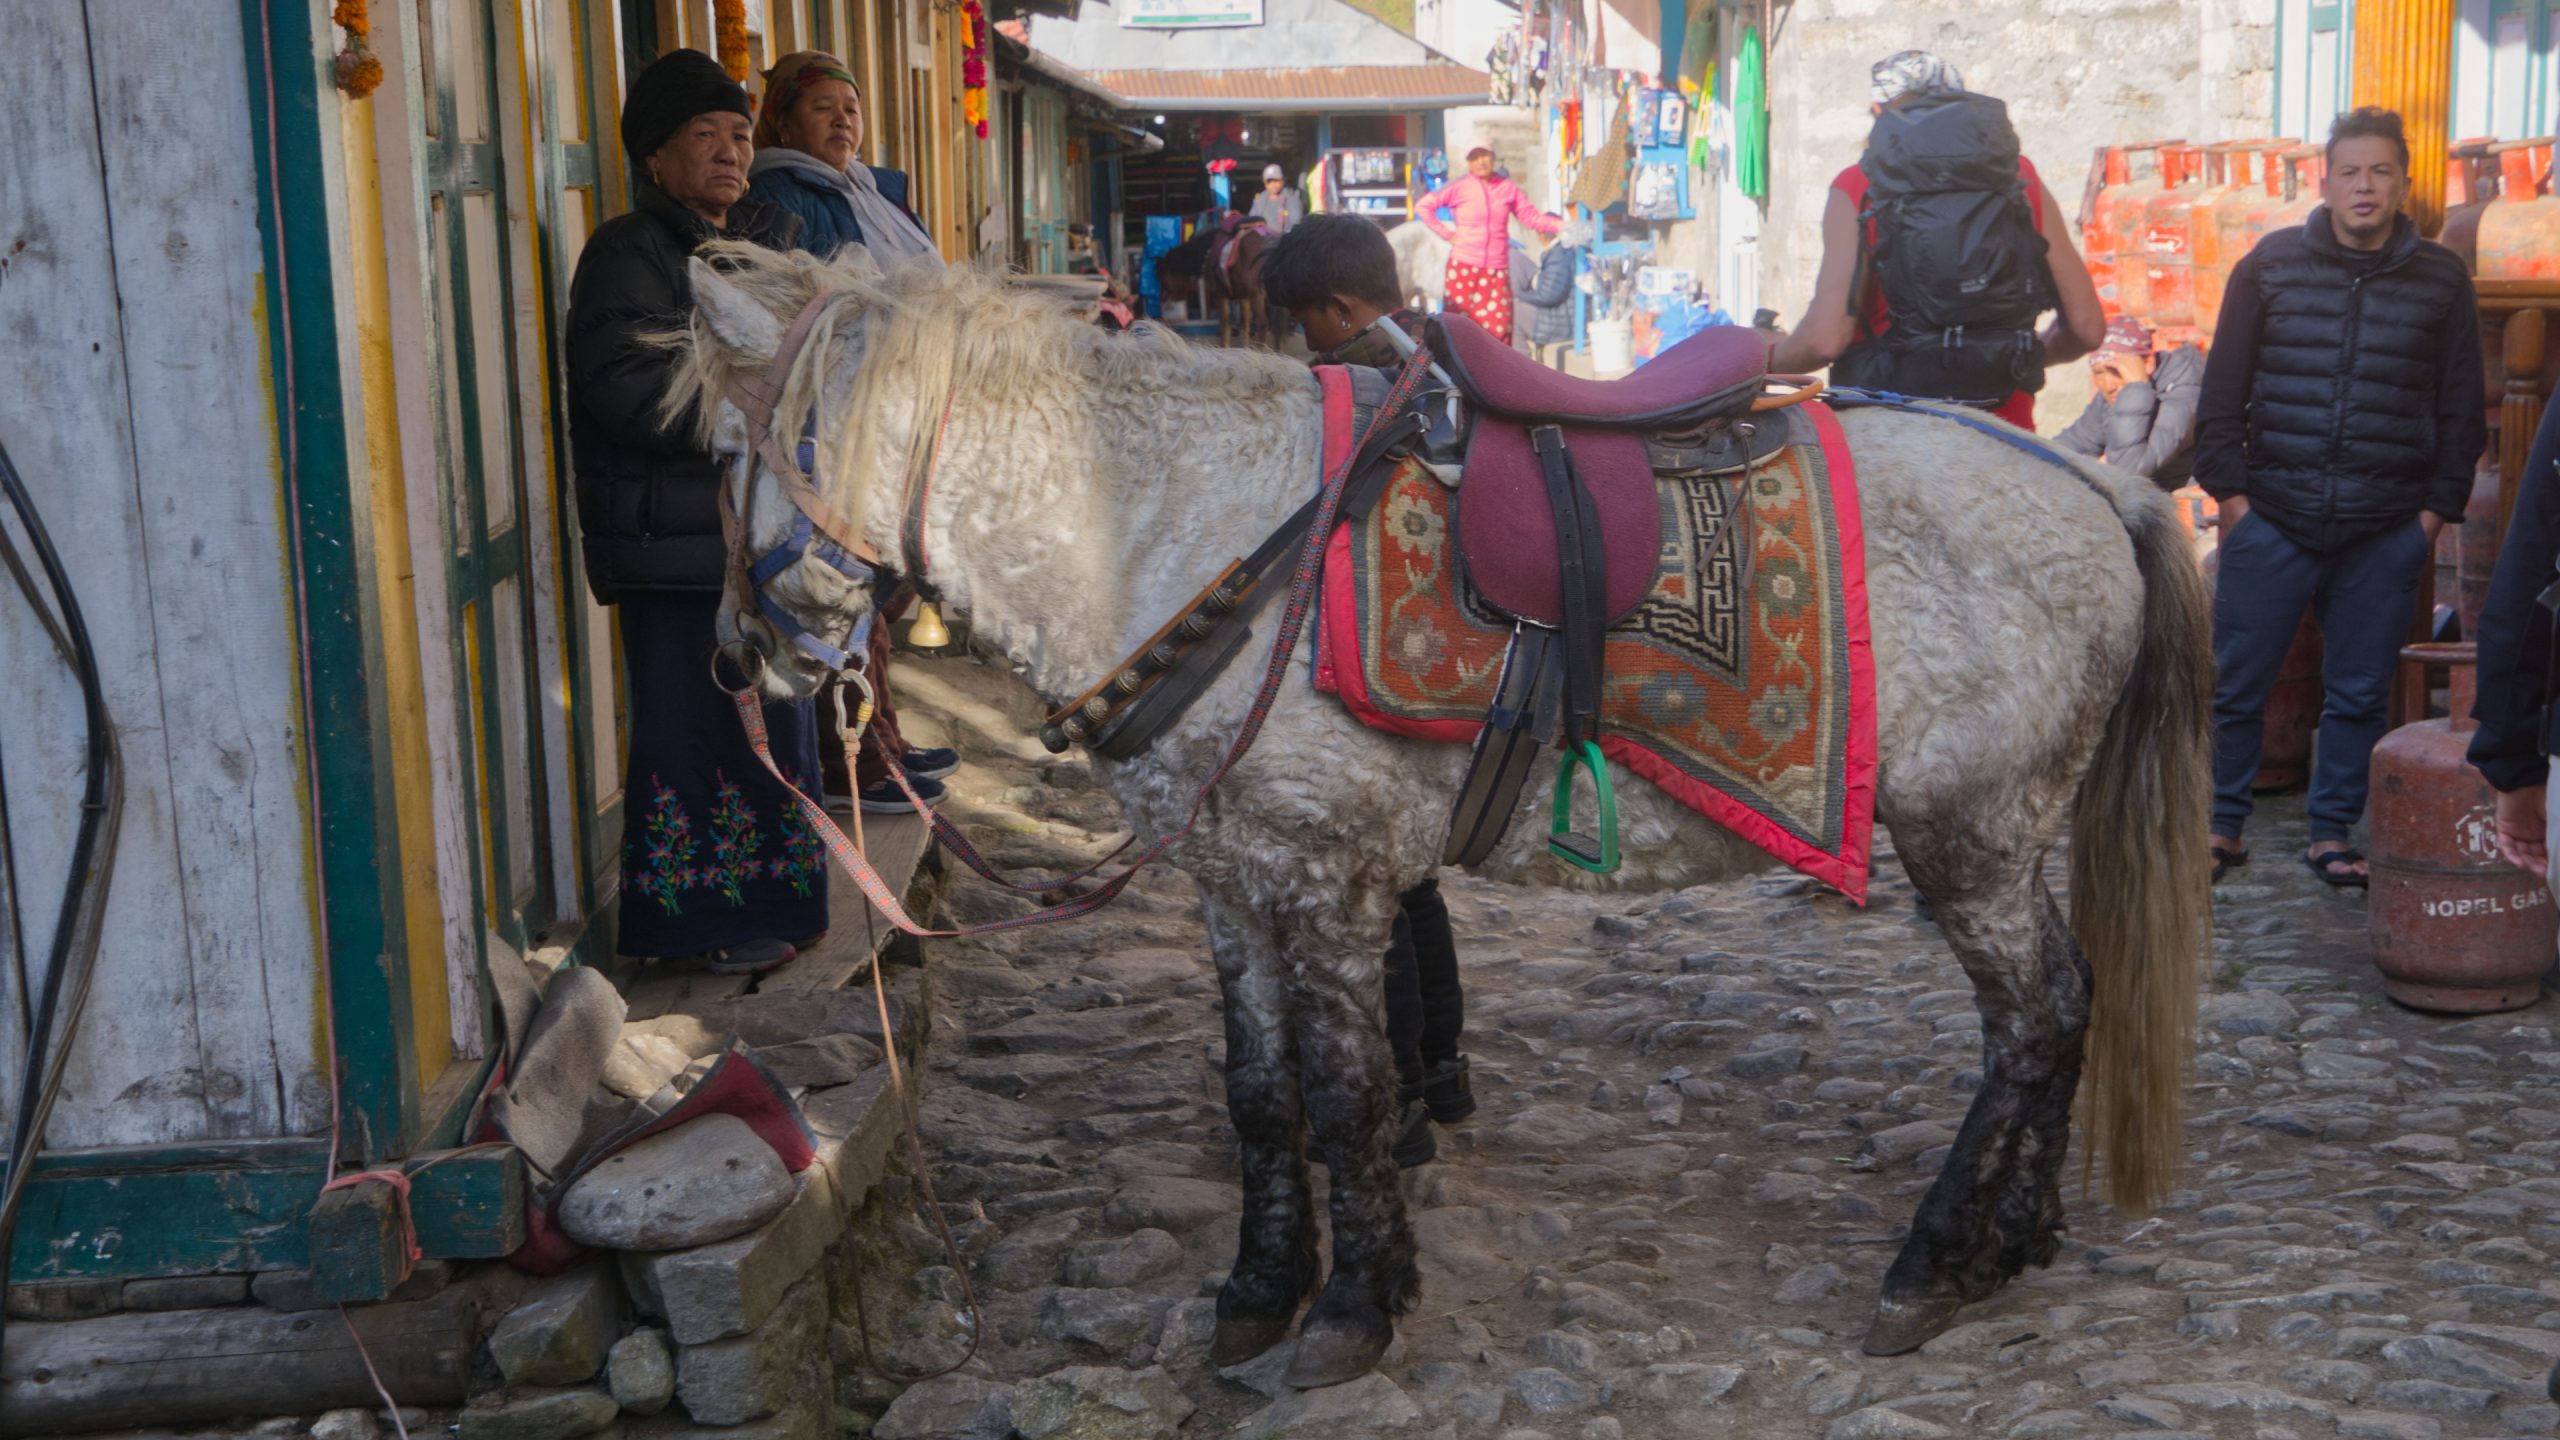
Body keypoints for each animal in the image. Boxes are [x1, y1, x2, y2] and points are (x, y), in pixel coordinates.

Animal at [666, 243, 2213, 1389]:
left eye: (737, 450)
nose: (738, 662)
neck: (1172, 525)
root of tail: (2097, 484)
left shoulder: (1328, 876)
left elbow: (1350, 1090)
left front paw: (1351, 1312)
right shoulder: (1229, 878)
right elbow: (1259, 1090)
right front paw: (1258, 1288)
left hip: (1969, 837)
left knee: (2034, 1019)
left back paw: (1939, 1262)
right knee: (2067, 1006)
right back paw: (2020, 1235)